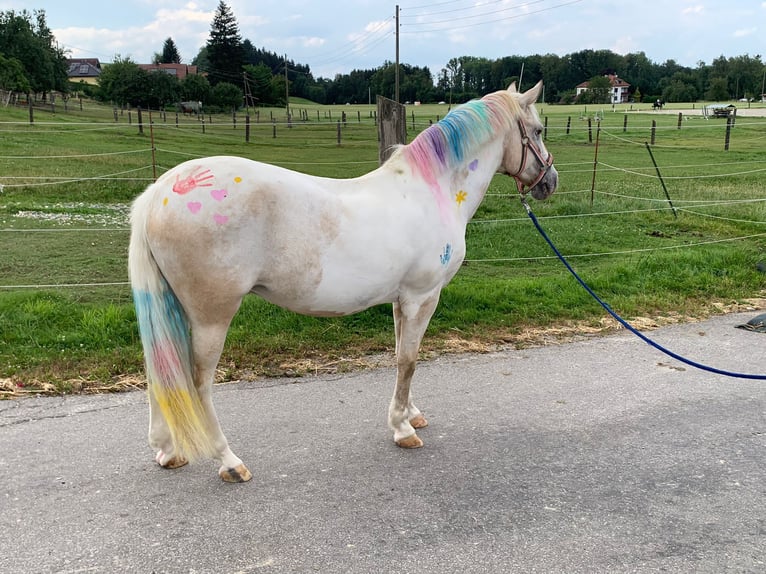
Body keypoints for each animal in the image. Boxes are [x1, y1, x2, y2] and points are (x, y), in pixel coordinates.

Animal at [128, 81, 558, 483]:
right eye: (537, 130)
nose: (550, 181)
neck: (432, 191)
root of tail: (159, 192)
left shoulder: (402, 299)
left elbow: (402, 354)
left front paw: (411, 415)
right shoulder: (422, 296)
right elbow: (409, 360)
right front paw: (402, 429)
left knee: (159, 370)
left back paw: (168, 451)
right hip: (211, 316)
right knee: (198, 383)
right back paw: (229, 461)